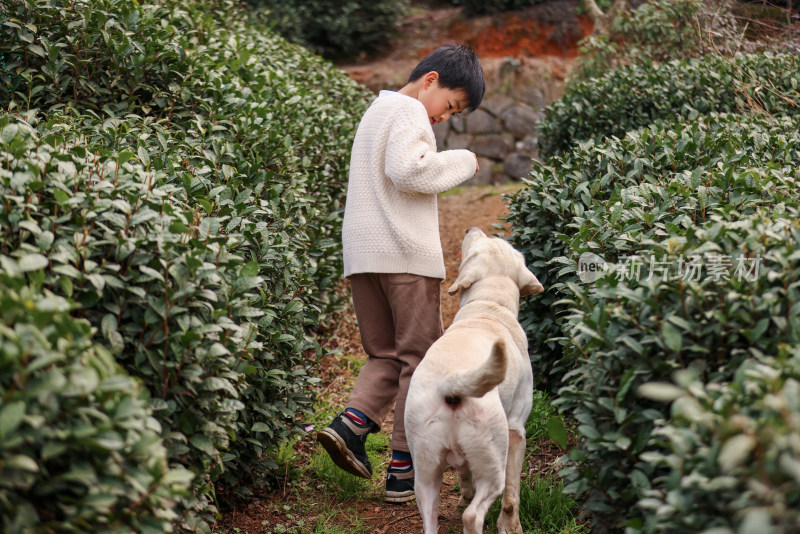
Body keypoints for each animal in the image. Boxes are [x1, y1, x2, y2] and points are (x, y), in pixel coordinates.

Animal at [406, 229, 544, 534]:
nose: (472, 230)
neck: (489, 306)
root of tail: (451, 385)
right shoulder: (517, 432)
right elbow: (512, 497)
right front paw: (510, 526)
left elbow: (464, 473)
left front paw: (464, 492)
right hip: (493, 463)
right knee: (474, 515)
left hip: (425, 474)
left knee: (430, 517)